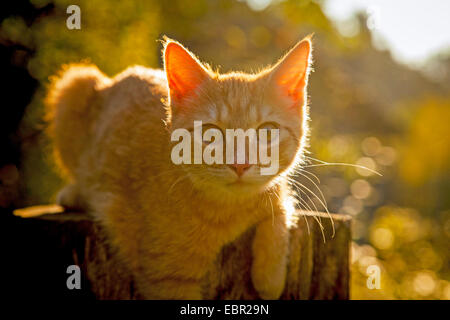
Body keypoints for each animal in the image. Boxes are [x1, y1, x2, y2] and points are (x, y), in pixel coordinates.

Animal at [46, 37, 312, 300]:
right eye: (210, 134)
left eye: (267, 131)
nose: (240, 164)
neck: (228, 210)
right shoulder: (167, 278)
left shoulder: (277, 189)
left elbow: (279, 210)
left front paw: (270, 278)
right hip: (76, 82)